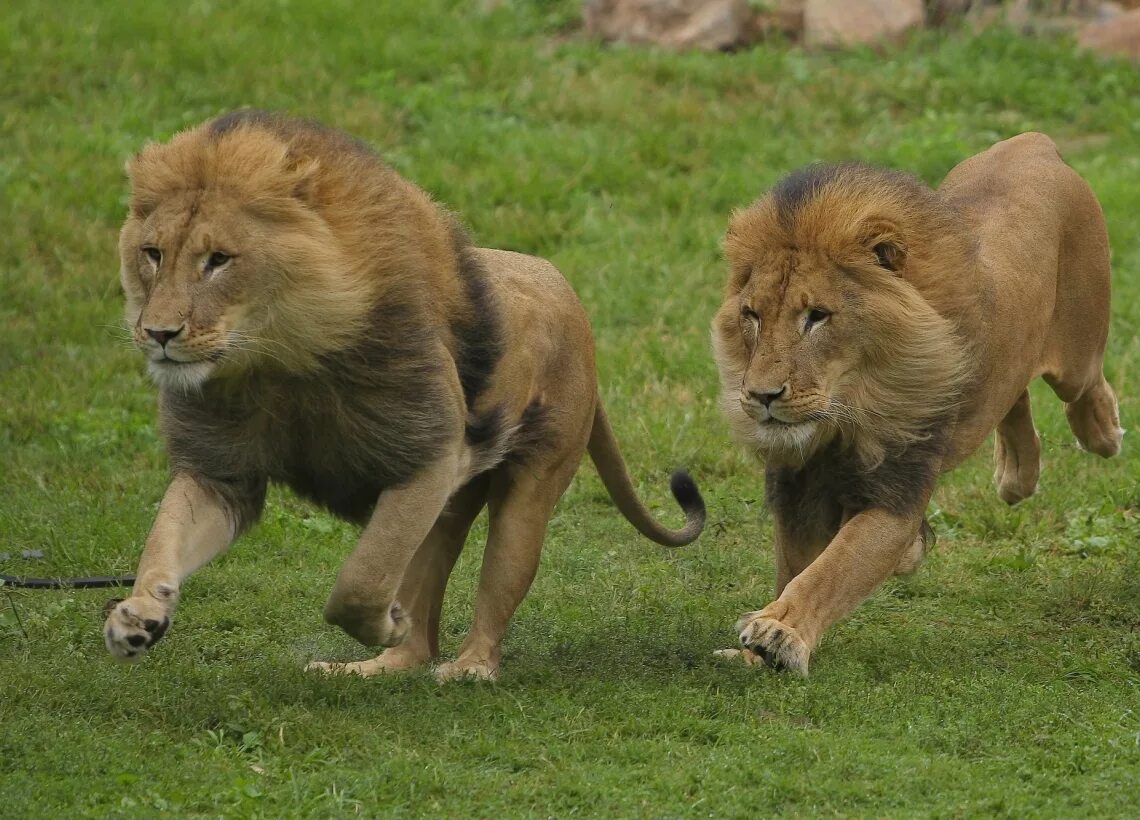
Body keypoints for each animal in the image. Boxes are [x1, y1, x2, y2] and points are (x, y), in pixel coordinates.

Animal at [102, 112, 702, 684]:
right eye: (152, 254)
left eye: (219, 260)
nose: (157, 333)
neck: (279, 361)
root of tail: (567, 293)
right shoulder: (221, 472)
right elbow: (164, 538)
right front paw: (137, 614)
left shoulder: (430, 454)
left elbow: (360, 579)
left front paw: (386, 621)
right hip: (450, 506)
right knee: (419, 638)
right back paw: (373, 666)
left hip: (529, 487)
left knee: (499, 575)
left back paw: (469, 667)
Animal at [711, 132, 1121, 675]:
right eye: (752, 315)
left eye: (817, 316)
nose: (762, 396)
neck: (848, 411)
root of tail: (1032, 143)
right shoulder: (799, 488)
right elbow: (796, 569)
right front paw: (752, 653)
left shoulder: (896, 495)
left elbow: (831, 570)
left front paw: (778, 632)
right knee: (1014, 392)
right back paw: (1017, 475)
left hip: (1077, 354)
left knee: (1086, 389)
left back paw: (1105, 431)